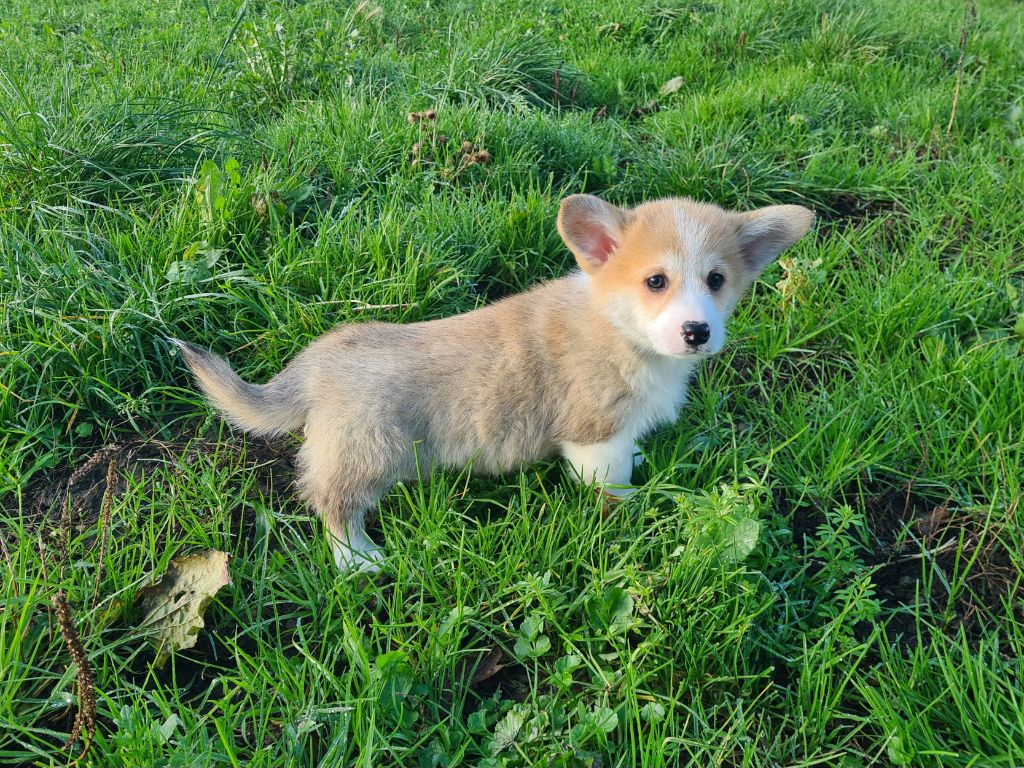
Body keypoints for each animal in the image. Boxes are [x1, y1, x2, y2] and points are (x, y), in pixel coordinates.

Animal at [176, 196, 815, 573]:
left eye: (717, 280)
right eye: (656, 281)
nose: (696, 332)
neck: (620, 330)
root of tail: (315, 365)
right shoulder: (593, 436)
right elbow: (611, 484)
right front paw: (636, 506)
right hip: (368, 451)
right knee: (332, 504)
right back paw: (361, 561)